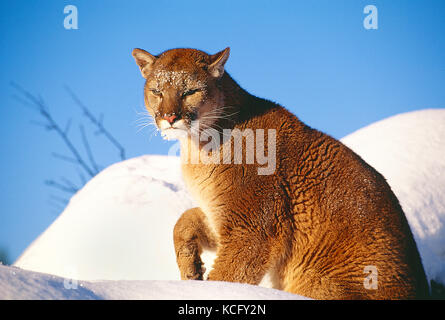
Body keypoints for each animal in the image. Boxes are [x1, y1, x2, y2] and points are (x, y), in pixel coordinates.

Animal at [131, 46, 426, 298]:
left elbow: (228, 274)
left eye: (190, 91)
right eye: (157, 91)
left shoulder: (253, 228)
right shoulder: (222, 213)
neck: (199, 145)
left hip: (320, 280)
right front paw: (191, 270)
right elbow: (184, 219)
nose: (169, 117)